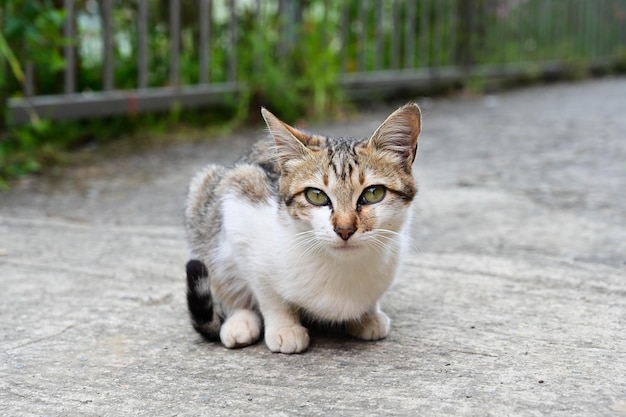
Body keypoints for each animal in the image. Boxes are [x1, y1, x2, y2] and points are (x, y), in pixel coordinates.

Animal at [184, 102, 420, 352]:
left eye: (373, 193)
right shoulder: (241, 205)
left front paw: (368, 315)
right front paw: (284, 327)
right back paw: (240, 322)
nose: (344, 229)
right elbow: (267, 292)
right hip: (208, 190)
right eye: (316, 196)